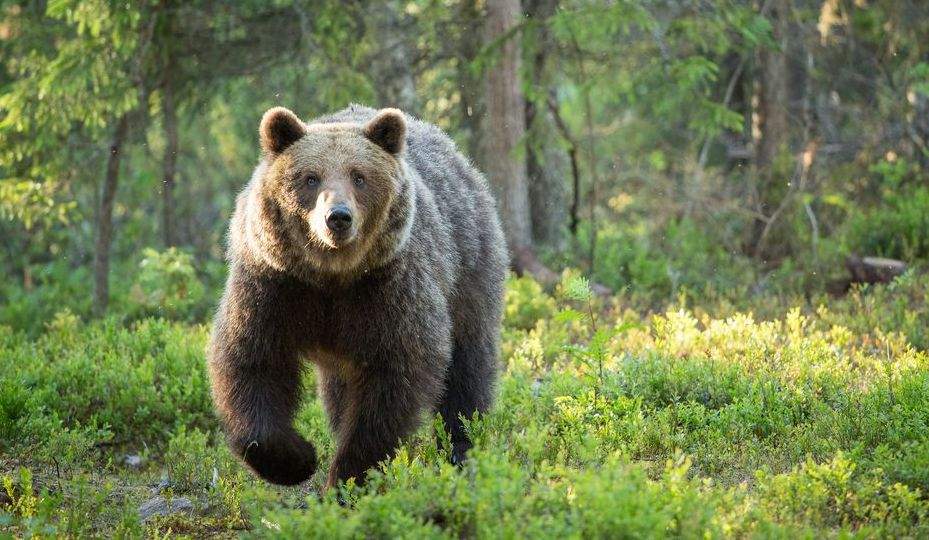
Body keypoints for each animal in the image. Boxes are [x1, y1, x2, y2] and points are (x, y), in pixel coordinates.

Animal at [207, 103, 508, 488]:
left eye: (359, 176)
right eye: (310, 177)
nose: (338, 217)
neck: (332, 276)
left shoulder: (388, 289)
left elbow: (393, 380)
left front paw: (349, 476)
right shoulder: (274, 286)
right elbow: (252, 361)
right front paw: (298, 458)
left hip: (468, 270)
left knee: (467, 367)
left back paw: (462, 448)